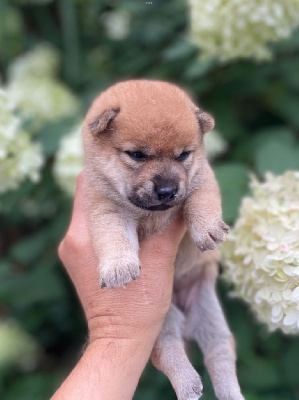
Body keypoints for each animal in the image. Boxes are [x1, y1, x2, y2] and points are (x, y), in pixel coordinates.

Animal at [83, 80, 245, 400]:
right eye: (137, 155)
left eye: (183, 155)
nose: (168, 190)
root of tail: (183, 314)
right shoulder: (106, 209)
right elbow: (113, 236)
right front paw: (119, 267)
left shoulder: (202, 179)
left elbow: (201, 202)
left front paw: (208, 229)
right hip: (161, 324)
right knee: (170, 351)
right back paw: (188, 385)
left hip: (210, 316)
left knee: (220, 353)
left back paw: (229, 392)